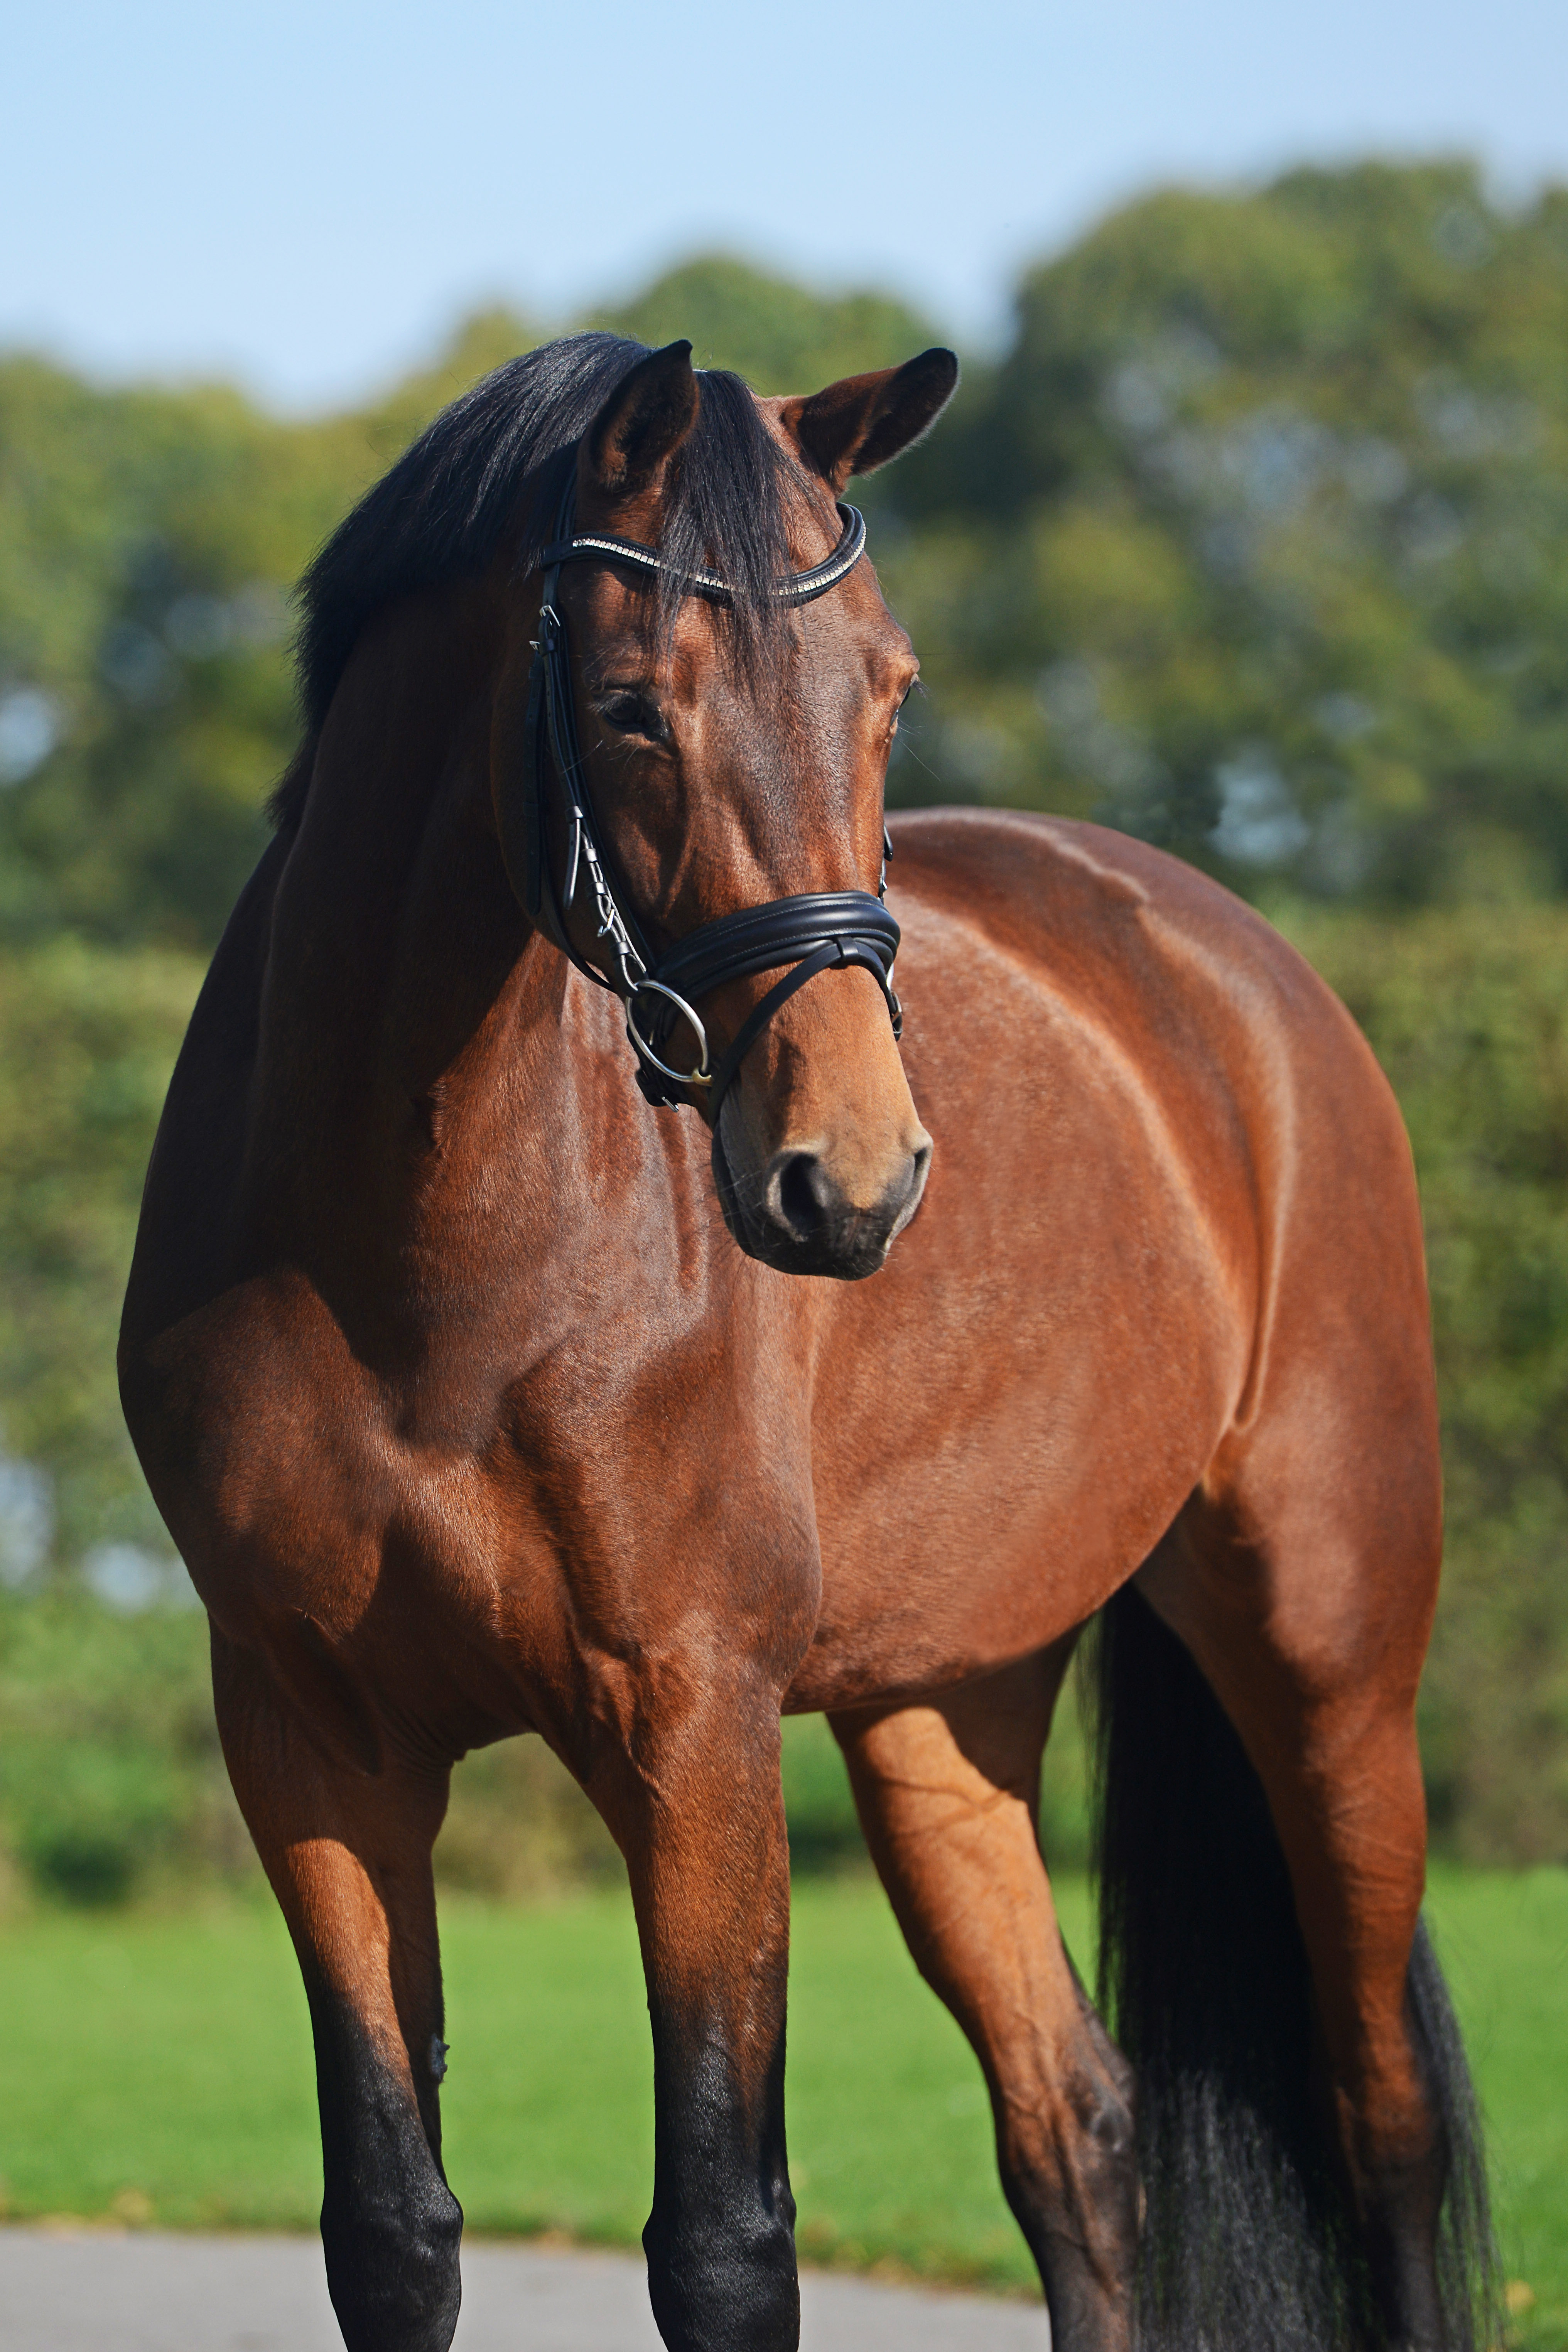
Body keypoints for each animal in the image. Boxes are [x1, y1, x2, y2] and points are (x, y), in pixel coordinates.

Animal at [120, 336, 1495, 2352]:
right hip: (945, 1705)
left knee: (1373, 2117)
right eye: (628, 704)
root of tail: (1233, 971)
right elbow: (390, 2224)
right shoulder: (311, 1743)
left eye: (890, 689)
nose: (851, 1175)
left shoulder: (693, 1726)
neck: (410, 1273)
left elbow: (723, 2237)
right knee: (1074, 2127)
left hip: (1328, 1657)